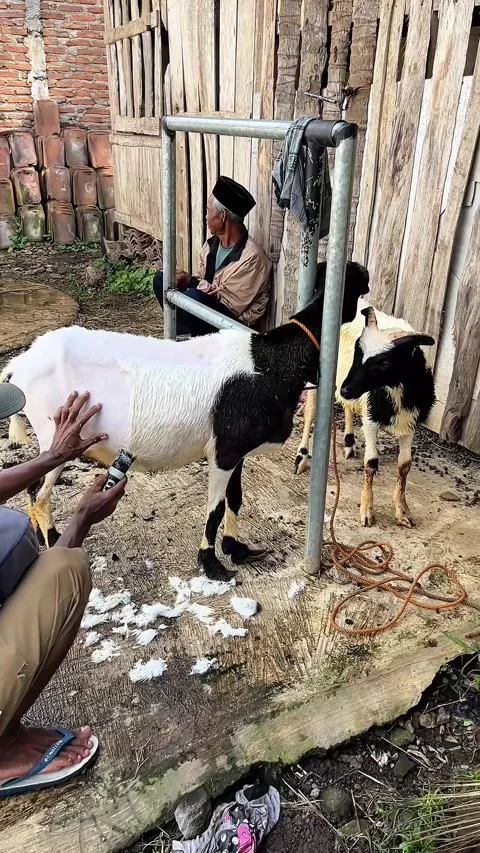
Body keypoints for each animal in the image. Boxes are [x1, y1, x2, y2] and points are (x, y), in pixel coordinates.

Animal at [3, 262, 369, 581]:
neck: (268, 363)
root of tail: (20, 364)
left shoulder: (234, 449)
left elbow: (235, 498)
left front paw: (236, 549)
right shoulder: (224, 452)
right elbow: (215, 508)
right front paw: (212, 564)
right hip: (54, 431)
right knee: (37, 490)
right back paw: (55, 540)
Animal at [295, 302, 435, 528]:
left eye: (385, 362)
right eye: (357, 352)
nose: (346, 389)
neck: (396, 390)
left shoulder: (410, 423)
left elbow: (404, 465)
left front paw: (402, 510)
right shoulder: (370, 420)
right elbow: (371, 463)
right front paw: (367, 510)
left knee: (347, 408)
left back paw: (349, 442)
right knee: (310, 412)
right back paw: (301, 457)